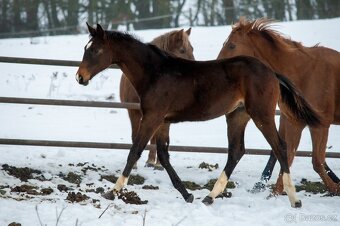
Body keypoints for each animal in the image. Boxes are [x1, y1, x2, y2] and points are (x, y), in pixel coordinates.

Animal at [119, 28, 194, 170]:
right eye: (182, 50)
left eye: (192, 49)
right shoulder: (133, 112)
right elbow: (135, 136)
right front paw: (134, 164)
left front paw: (158, 162)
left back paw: (153, 161)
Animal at [218, 17, 340, 194]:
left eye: (232, 45)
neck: (303, 73)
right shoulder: (295, 122)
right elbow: (287, 157)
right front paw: (276, 192)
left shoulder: (320, 125)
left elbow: (317, 161)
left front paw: (335, 189)